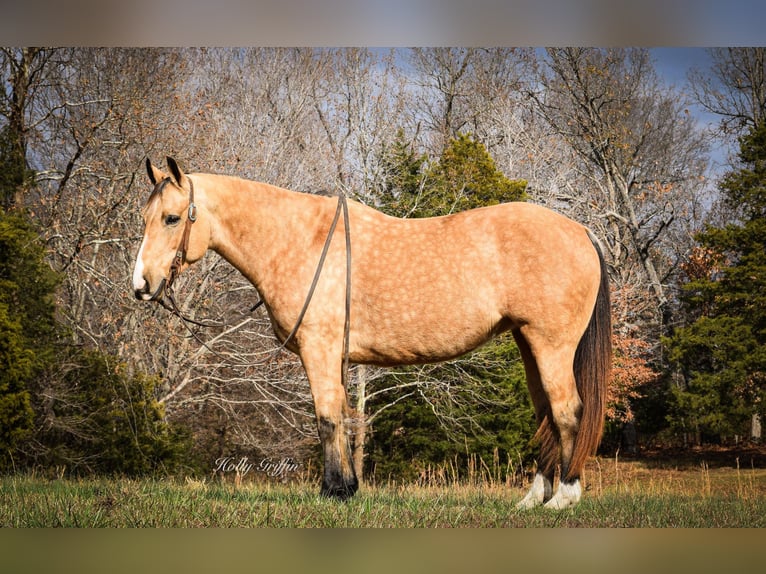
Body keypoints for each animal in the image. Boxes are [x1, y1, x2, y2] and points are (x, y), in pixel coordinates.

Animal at [132, 156, 612, 508]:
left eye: (172, 218)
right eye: (145, 216)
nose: (141, 284)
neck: (298, 240)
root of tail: (582, 232)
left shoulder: (319, 348)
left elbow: (327, 417)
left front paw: (335, 492)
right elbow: (341, 416)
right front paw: (346, 487)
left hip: (551, 345)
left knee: (567, 411)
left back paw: (564, 498)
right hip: (528, 343)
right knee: (546, 416)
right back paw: (533, 499)